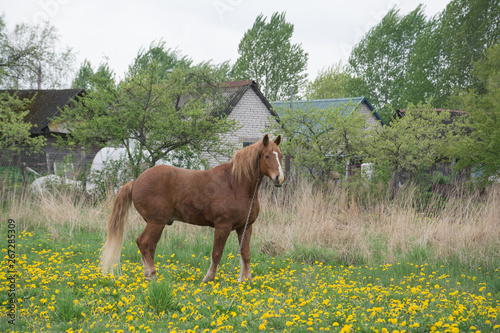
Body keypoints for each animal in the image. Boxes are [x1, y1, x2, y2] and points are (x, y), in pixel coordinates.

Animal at [99, 134, 284, 282]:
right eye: (267, 156)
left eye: (280, 156)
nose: (279, 179)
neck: (235, 184)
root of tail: (136, 181)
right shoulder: (222, 226)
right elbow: (217, 253)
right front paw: (209, 278)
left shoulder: (245, 227)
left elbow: (245, 253)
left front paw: (245, 280)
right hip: (156, 222)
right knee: (144, 243)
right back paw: (151, 273)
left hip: (157, 224)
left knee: (150, 246)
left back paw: (149, 275)